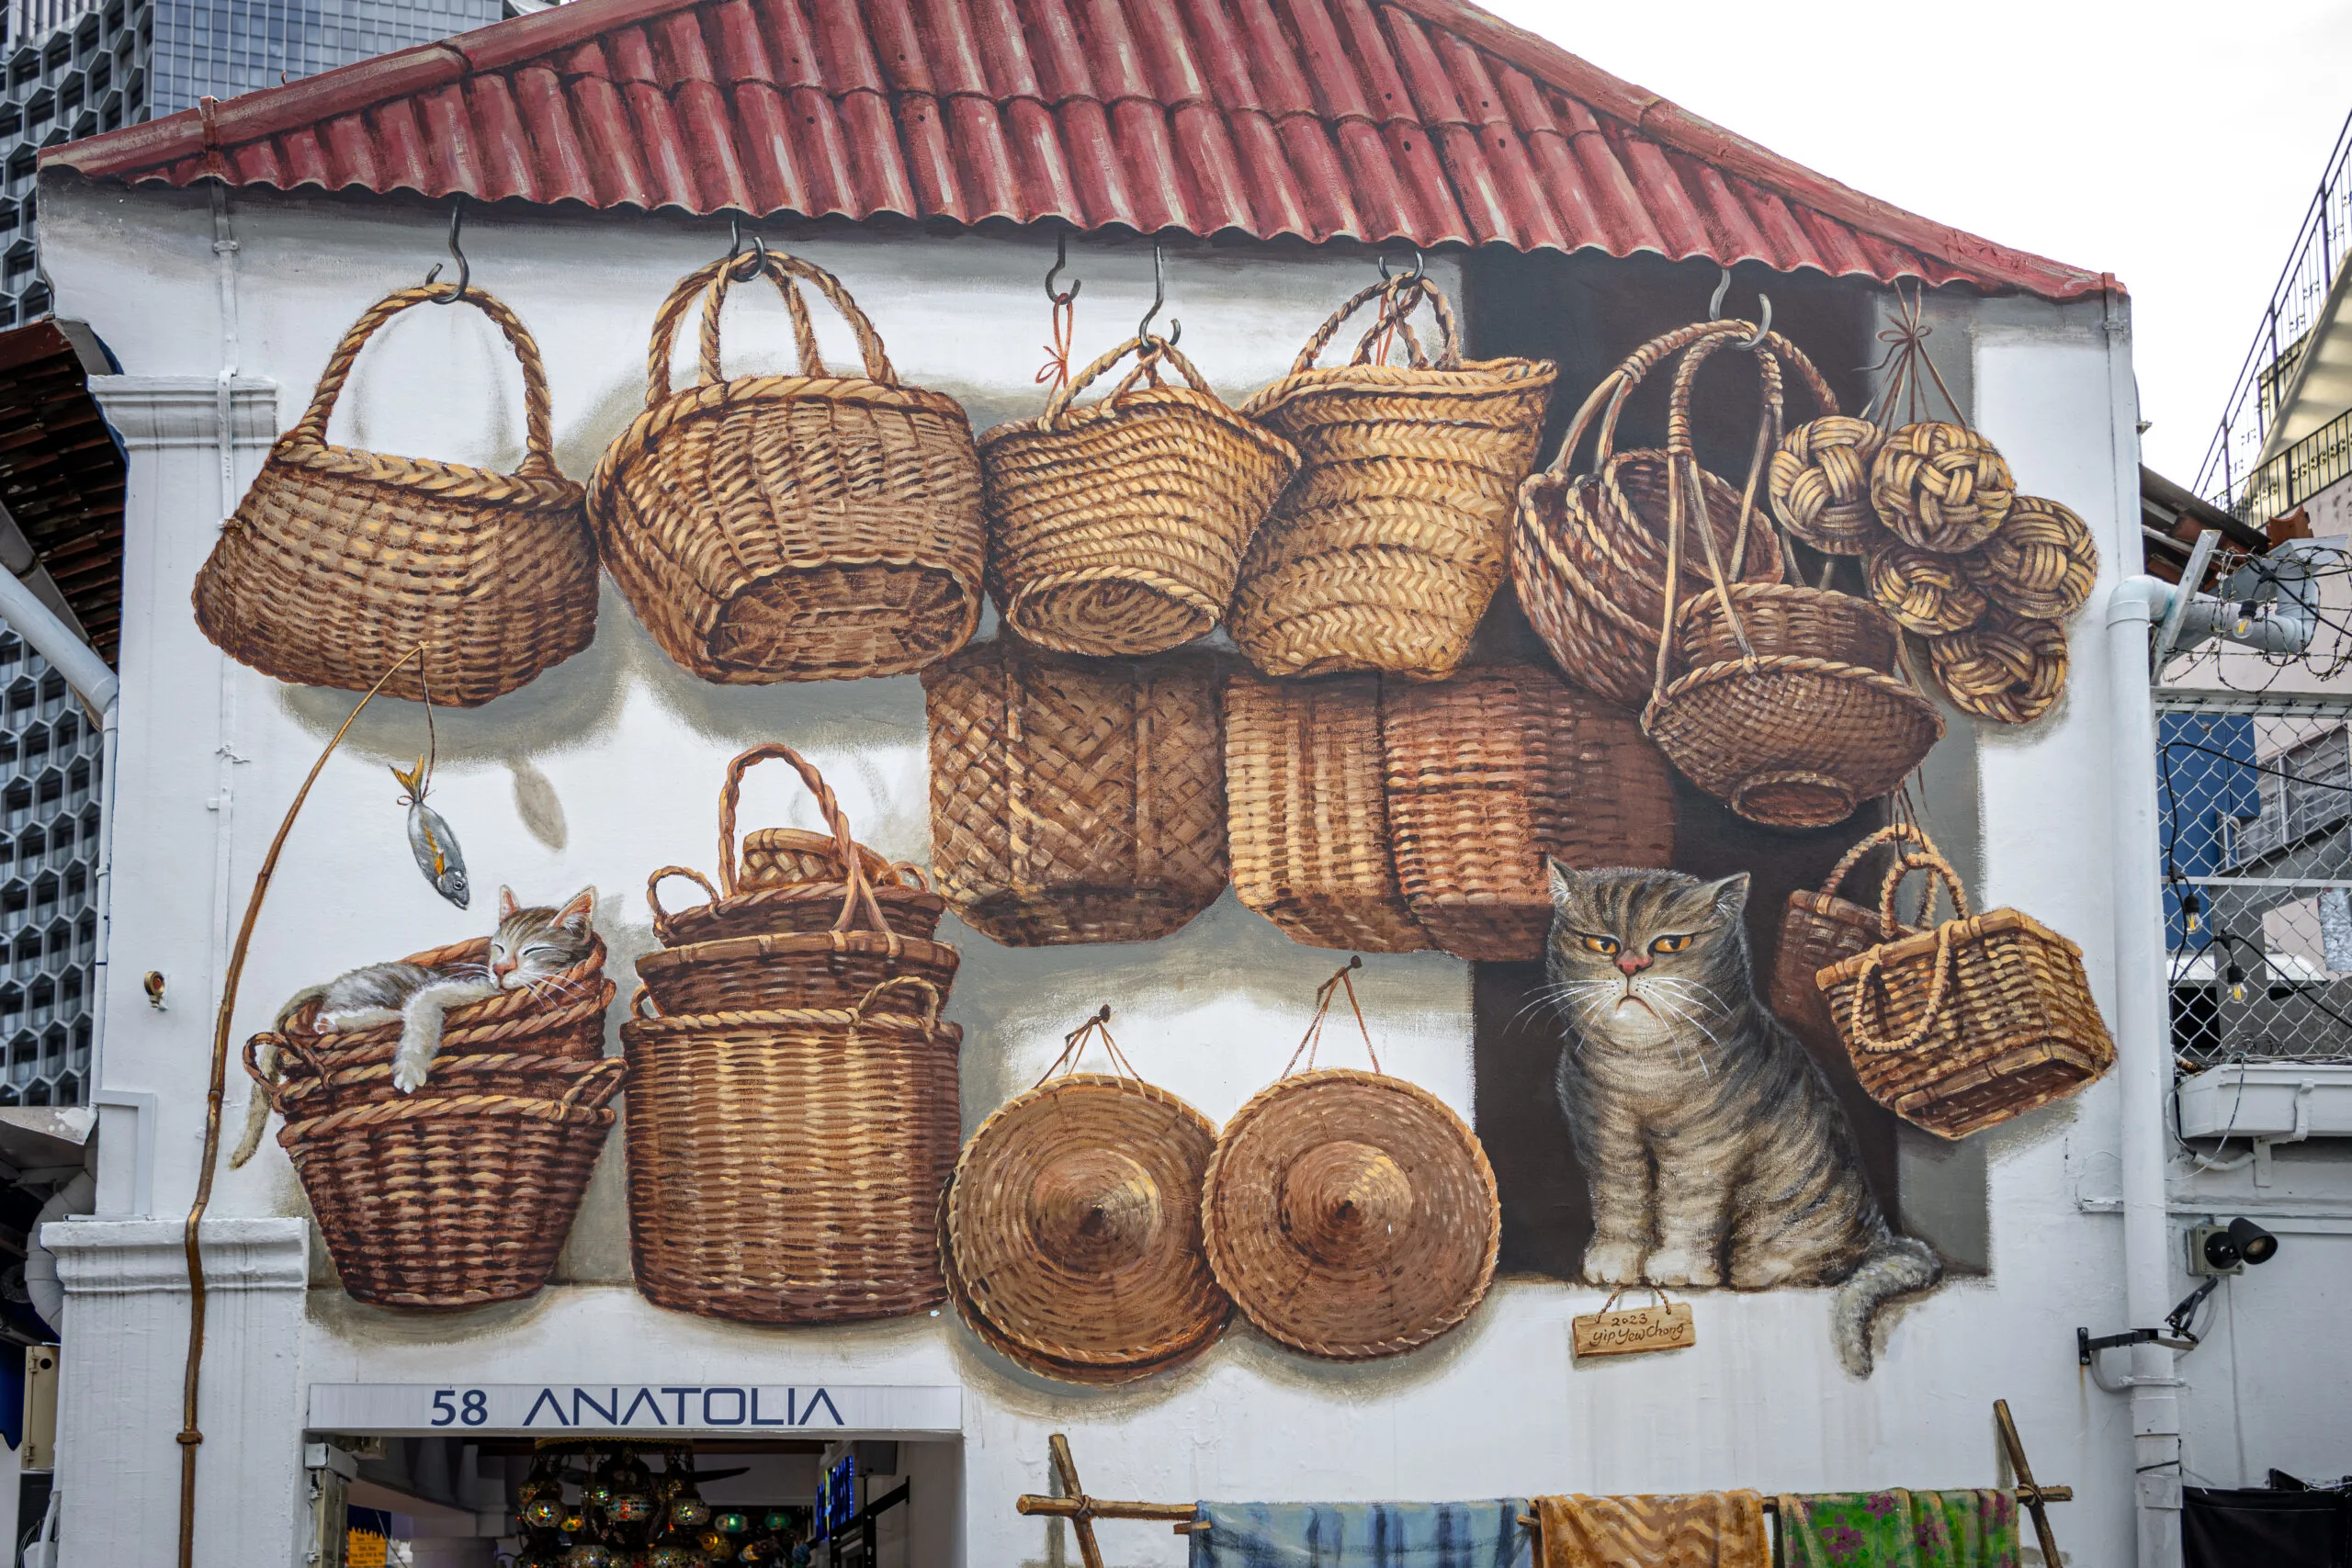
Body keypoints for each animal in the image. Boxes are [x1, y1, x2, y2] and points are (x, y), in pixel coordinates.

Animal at [228, 888, 597, 1170]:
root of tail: (331, 984)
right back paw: (336, 1021)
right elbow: (421, 1012)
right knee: (386, 1013)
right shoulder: (439, 990)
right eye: (499, 947)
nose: (499, 969)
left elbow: (414, 1012)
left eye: (535, 950)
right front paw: (410, 1070)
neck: (496, 991)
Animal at [1533, 864, 1938, 1382]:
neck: (1641, 1072)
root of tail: (1881, 1239)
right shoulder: (1606, 1141)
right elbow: (1619, 1205)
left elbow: (1687, 1210)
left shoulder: (1703, 1150)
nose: (1629, 966)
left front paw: (1678, 1268)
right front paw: (1616, 1262)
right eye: (1602, 944)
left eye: (1671, 944)